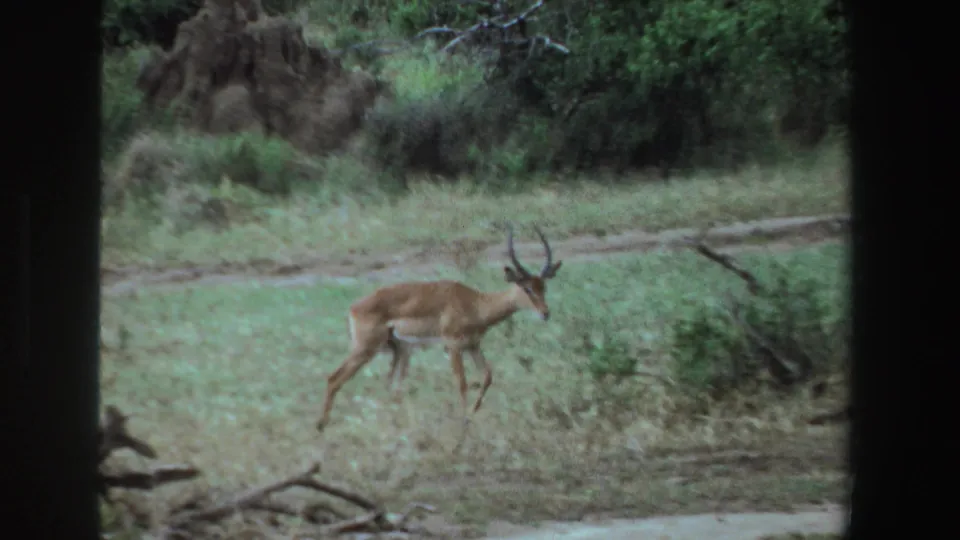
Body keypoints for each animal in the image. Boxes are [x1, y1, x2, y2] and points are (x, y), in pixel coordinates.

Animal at [316, 224, 563, 432]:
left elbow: (487, 376)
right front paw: (463, 423)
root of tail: (354, 308)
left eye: (543, 286)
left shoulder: (473, 345)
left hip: (400, 350)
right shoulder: (452, 346)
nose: (545, 313)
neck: (475, 304)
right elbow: (462, 383)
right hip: (365, 349)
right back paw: (321, 426)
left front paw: (472, 415)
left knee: (390, 387)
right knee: (333, 378)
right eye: (526, 288)